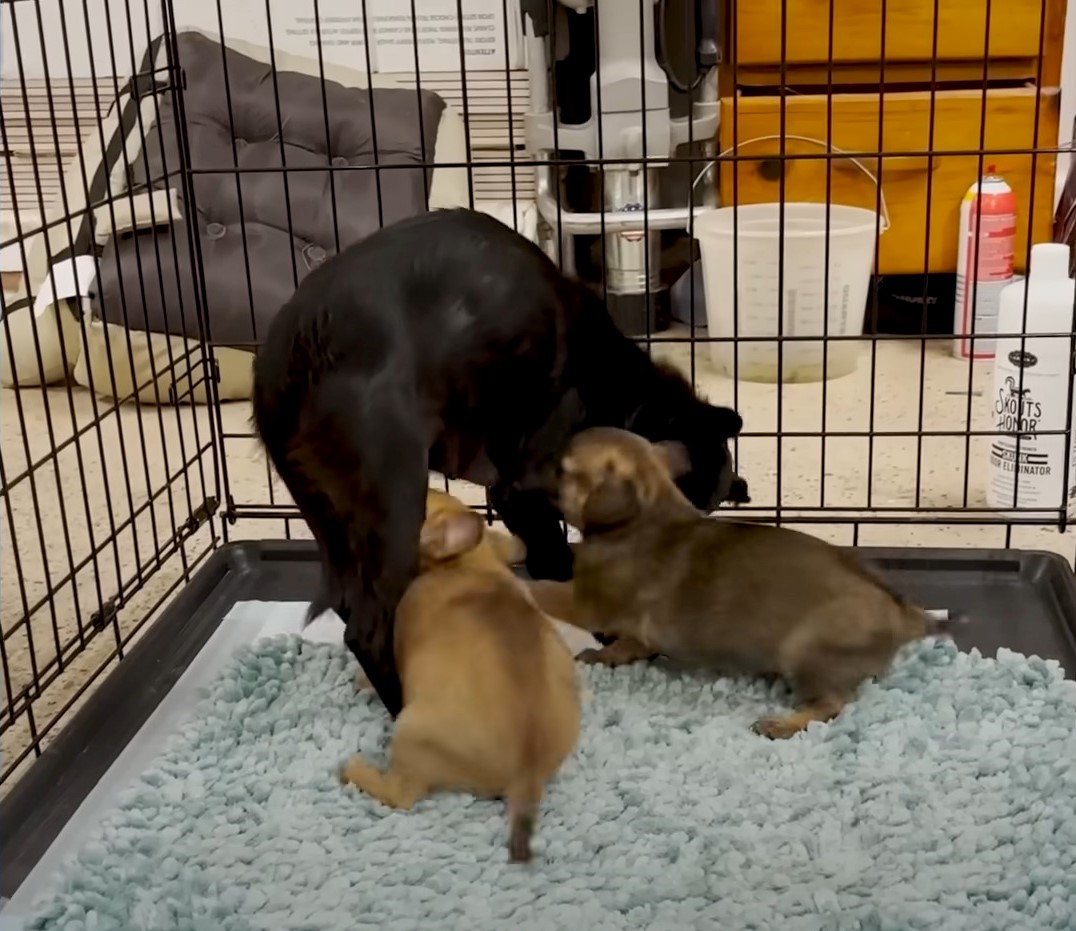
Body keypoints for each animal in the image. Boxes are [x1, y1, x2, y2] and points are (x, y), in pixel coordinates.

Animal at [251, 208, 748, 718]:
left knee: (350, 604)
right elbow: (559, 563)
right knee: (367, 628)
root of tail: (289, 358)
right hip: (396, 501)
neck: (617, 390)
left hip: (332, 522)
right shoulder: (524, 488)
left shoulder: (507, 496)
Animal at [342, 490, 581, 861]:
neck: (466, 563)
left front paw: (361, 680)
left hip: (409, 731)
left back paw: (355, 770)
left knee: (401, 794)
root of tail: (526, 773)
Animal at [542, 428, 938, 740]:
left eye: (562, 469)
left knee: (831, 705)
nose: (537, 471)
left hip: (804, 653)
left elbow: (547, 591)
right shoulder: (635, 628)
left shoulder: (586, 602)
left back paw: (784, 724)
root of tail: (908, 616)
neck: (646, 516)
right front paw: (605, 655)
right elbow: (628, 644)